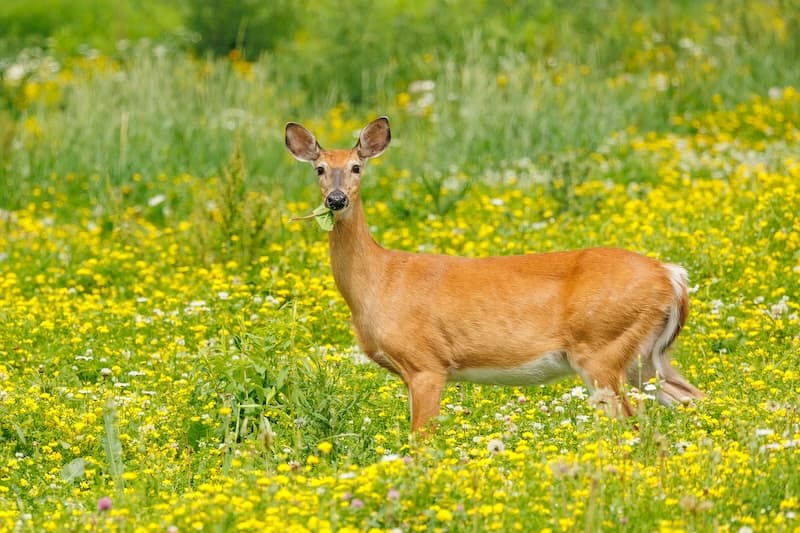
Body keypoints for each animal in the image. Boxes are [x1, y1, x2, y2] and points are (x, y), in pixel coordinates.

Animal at [284, 116, 704, 433]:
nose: (335, 199)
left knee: (631, 422)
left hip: (603, 346)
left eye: (357, 167)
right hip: (646, 358)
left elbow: (421, 442)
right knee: (693, 398)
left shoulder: (426, 363)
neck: (379, 280)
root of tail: (671, 275)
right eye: (320, 169)